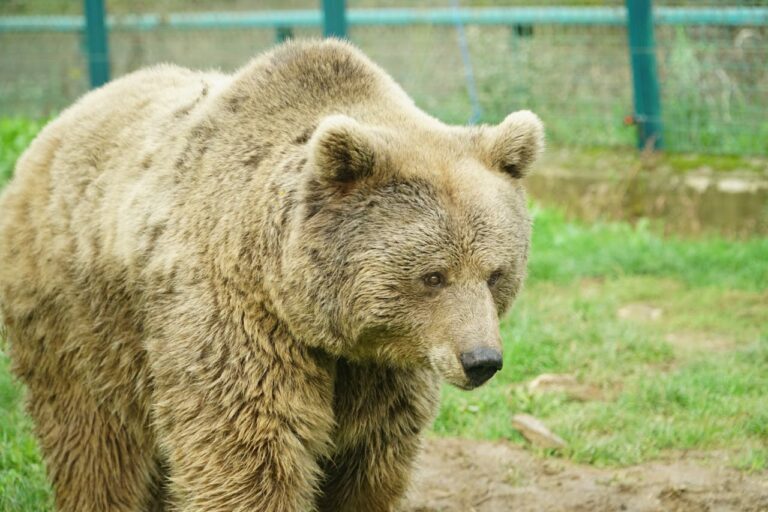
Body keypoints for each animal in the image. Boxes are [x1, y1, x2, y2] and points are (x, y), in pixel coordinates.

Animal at [0, 39, 543, 511]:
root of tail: (58, 125)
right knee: (94, 439)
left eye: (495, 274)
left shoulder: (381, 371)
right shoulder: (236, 316)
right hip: (80, 317)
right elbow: (245, 450)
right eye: (433, 275)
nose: (481, 360)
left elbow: (368, 462)